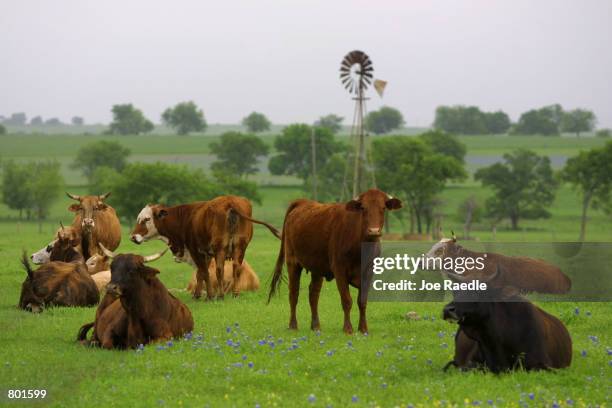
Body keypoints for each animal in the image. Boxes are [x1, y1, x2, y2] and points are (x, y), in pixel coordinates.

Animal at [131, 196, 280, 298]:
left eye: (147, 219)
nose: (132, 237)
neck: (186, 218)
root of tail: (230, 201)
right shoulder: (206, 253)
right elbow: (201, 273)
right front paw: (199, 294)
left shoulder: (195, 251)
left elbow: (203, 272)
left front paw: (208, 295)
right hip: (240, 247)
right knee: (236, 267)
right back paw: (235, 293)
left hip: (221, 248)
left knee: (220, 270)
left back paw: (220, 295)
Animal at [268, 190, 402, 334]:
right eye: (363, 208)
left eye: (383, 208)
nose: (374, 231)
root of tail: (302, 202)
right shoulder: (340, 270)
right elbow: (347, 300)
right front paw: (348, 328)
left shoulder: (368, 273)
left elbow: (362, 302)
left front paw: (363, 329)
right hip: (292, 262)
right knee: (294, 293)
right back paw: (293, 325)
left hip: (317, 267)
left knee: (313, 294)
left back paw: (316, 326)